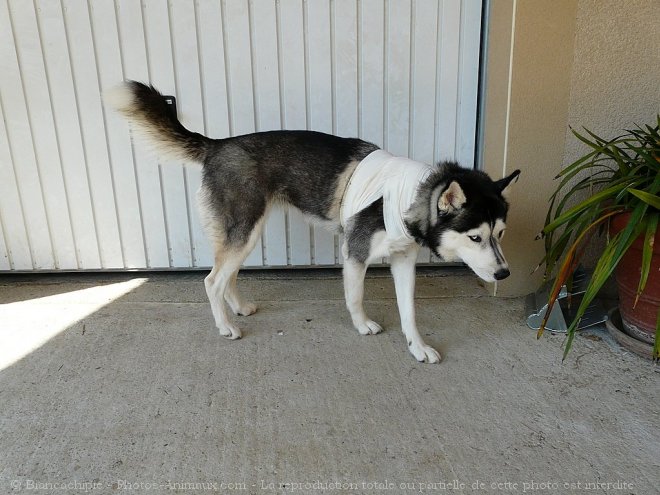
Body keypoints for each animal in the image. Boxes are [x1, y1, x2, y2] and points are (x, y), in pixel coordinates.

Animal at [109, 79, 520, 362]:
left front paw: (417, 346)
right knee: (212, 280)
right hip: (243, 230)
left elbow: (409, 311)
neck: (410, 194)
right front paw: (362, 325)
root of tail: (218, 144)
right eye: (475, 238)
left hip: (247, 232)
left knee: (227, 275)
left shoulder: (403, 260)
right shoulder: (355, 254)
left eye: (500, 234)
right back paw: (226, 325)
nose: (504, 275)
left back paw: (238, 307)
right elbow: (355, 297)